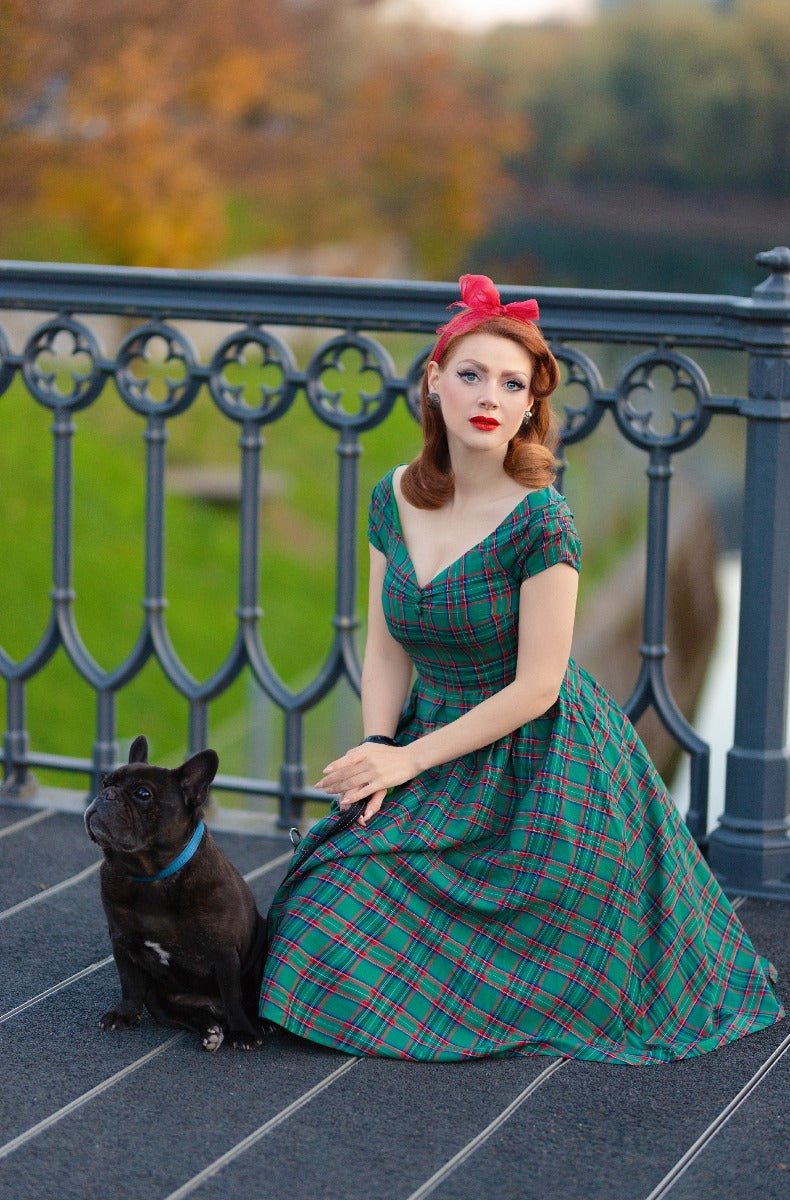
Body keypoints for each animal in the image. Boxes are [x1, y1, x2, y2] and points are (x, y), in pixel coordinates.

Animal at [85, 729, 266, 1051]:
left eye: (143, 794)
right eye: (105, 782)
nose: (107, 794)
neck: (149, 875)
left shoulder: (224, 952)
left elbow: (232, 995)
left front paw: (243, 1032)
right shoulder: (121, 940)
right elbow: (129, 981)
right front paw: (124, 1014)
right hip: (160, 999)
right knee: (189, 1013)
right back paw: (211, 1030)